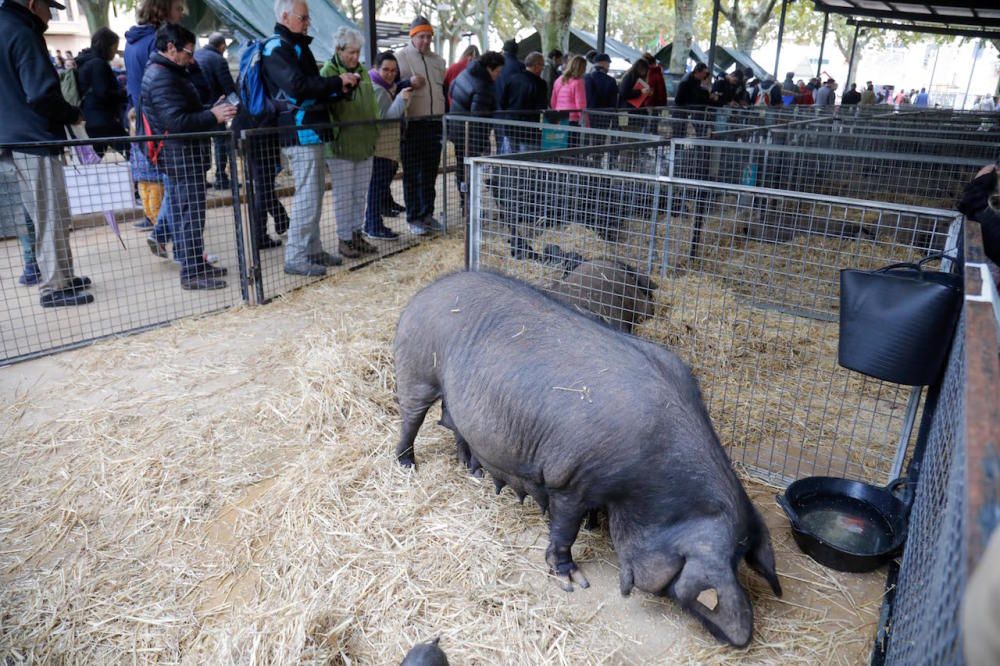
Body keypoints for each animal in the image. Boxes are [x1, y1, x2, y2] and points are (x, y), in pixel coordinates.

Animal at [394, 270, 784, 644]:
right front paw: (574, 582)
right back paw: (407, 465)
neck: (650, 483)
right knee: (411, 418)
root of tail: (424, 293)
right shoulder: (572, 480)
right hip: (417, 371)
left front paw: (595, 526)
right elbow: (564, 529)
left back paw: (471, 470)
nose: (740, 640)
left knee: (453, 421)